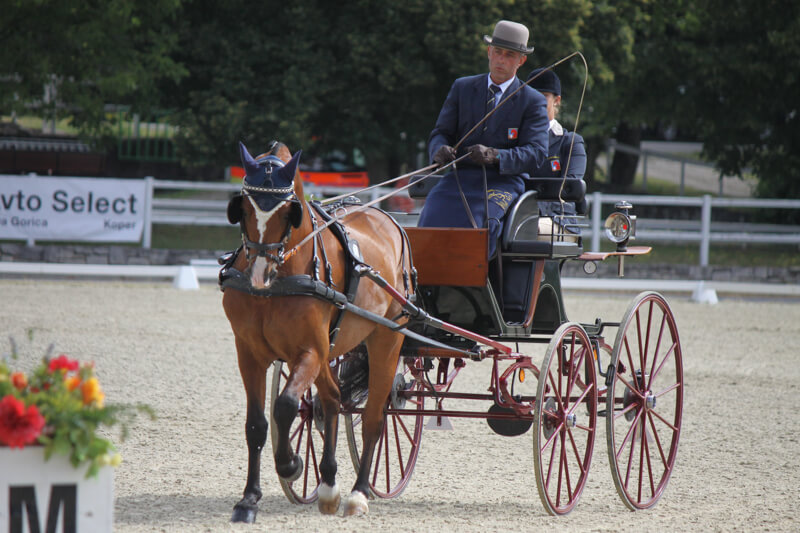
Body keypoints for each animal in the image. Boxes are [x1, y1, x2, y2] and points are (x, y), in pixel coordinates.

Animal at [221, 141, 414, 521]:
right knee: (333, 401)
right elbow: (257, 424)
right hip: (332, 349)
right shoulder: (248, 353)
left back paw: (358, 493)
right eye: (245, 208)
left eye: (287, 213)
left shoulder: (308, 350)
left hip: (386, 338)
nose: (259, 274)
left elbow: (285, 405)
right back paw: (328, 485)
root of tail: (387, 220)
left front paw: (291, 464)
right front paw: (248, 499)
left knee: (373, 418)